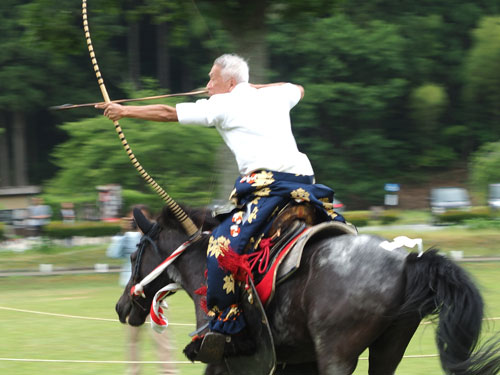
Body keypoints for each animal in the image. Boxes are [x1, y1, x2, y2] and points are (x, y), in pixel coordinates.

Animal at [114, 207, 500, 374]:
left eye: (134, 254)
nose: (121, 307)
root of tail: (406, 262)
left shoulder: (224, 357)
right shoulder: (296, 361)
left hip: (337, 353)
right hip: (389, 348)